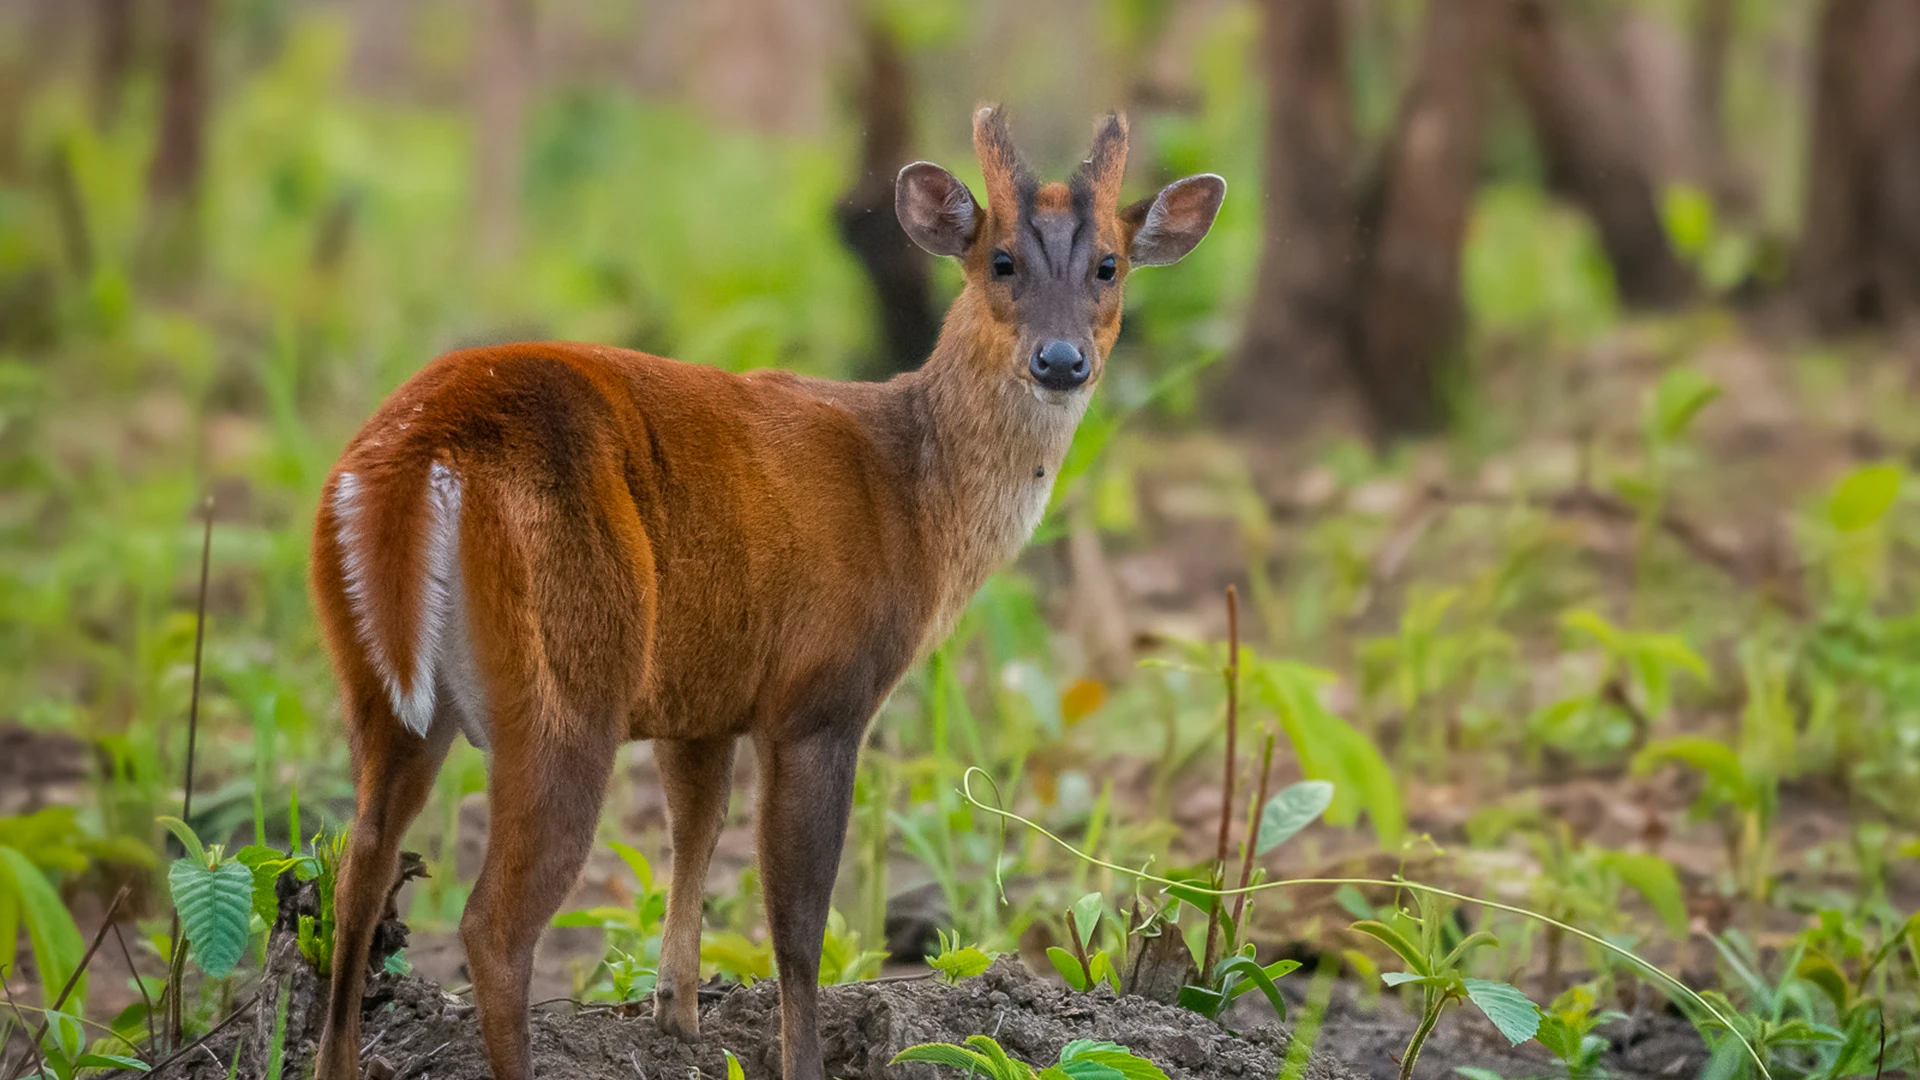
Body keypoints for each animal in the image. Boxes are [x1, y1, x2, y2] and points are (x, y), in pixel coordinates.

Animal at [309, 107, 1221, 1076]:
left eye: (1109, 265)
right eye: (1000, 260)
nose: (1061, 359)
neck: (913, 497)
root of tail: (422, 453)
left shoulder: (703, 695)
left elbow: (695, 834)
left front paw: (677, 1016)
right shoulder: (819, 695)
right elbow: (797, 919)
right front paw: (798, 1057)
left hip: (382, 688)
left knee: (359, 866)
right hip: (569, 673)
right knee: (493, 922)